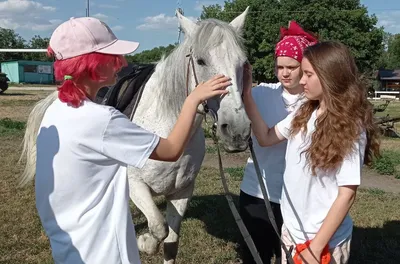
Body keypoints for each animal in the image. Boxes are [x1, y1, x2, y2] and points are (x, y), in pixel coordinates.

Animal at [19, 8, 250, 264]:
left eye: (243, 63)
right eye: (200, 61)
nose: (237, 131)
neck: (167, 123)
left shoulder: (182, 191)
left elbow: (170, 242)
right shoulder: (136, 185)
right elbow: (158, 227)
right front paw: (144, 242)